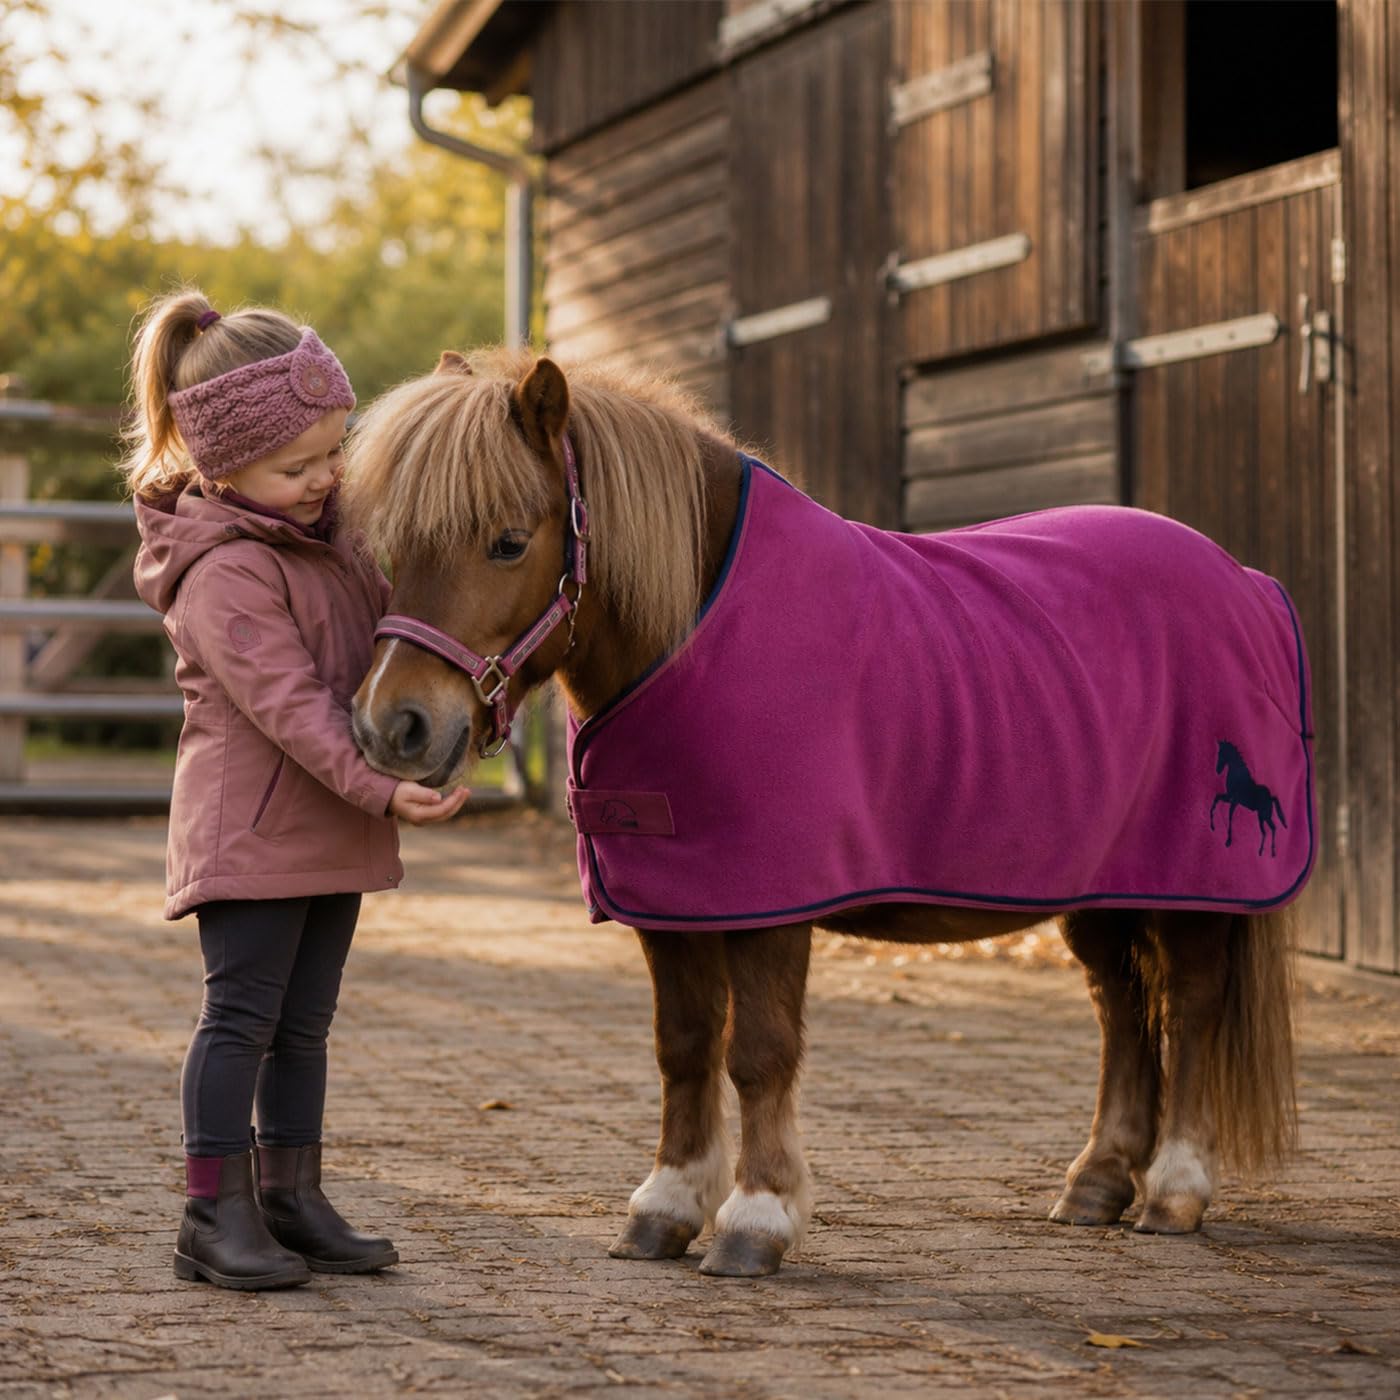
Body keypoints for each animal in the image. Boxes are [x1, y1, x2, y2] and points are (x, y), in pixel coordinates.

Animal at [344, 348, 1310, 1278]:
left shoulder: (773, 904)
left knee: (1187, 1009)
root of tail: (1245, 578)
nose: (394, 725)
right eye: (392, 545)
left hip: (1193, 890)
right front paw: (665, 1209)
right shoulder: (671, 901)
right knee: (1121, 1009)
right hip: (1103, 890)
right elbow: (682, 1045)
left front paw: (756, 1220)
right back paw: (1097, 1183)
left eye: (509, 542)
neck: (694, 631)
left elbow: (759, 1052)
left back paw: (1174, 1191)